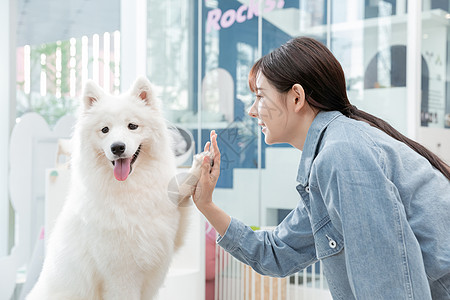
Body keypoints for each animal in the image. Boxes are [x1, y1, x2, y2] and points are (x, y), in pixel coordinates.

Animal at [25, 77, 207, 300]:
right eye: (105, 130)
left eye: (132, 126)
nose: (117, 147)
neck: (131, 189)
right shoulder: (120, 277)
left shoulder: (171, 238)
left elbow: (180, 192)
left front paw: (201, 163)